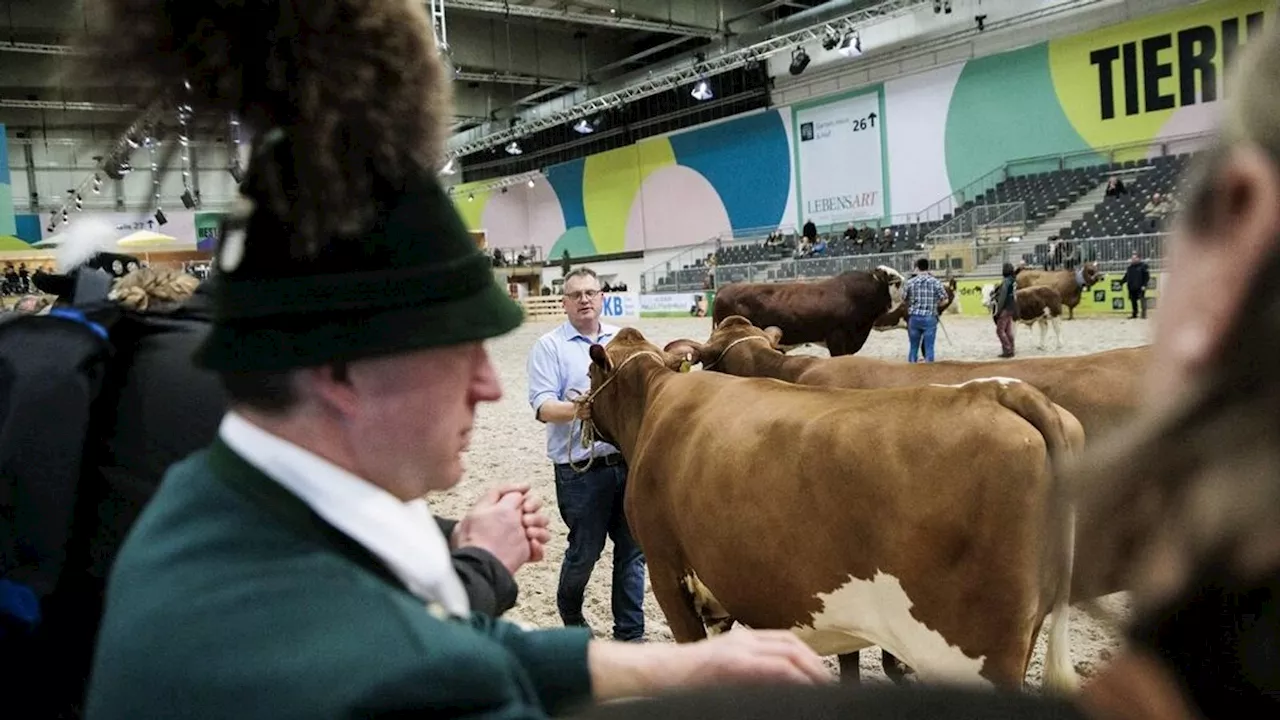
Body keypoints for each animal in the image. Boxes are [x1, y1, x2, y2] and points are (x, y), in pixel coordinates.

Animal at [581, 325, 1080, 691]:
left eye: (589, 374)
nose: (577, 403)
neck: (655, 402)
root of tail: (1001, 391)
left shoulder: (666, 569)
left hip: (969, 654)